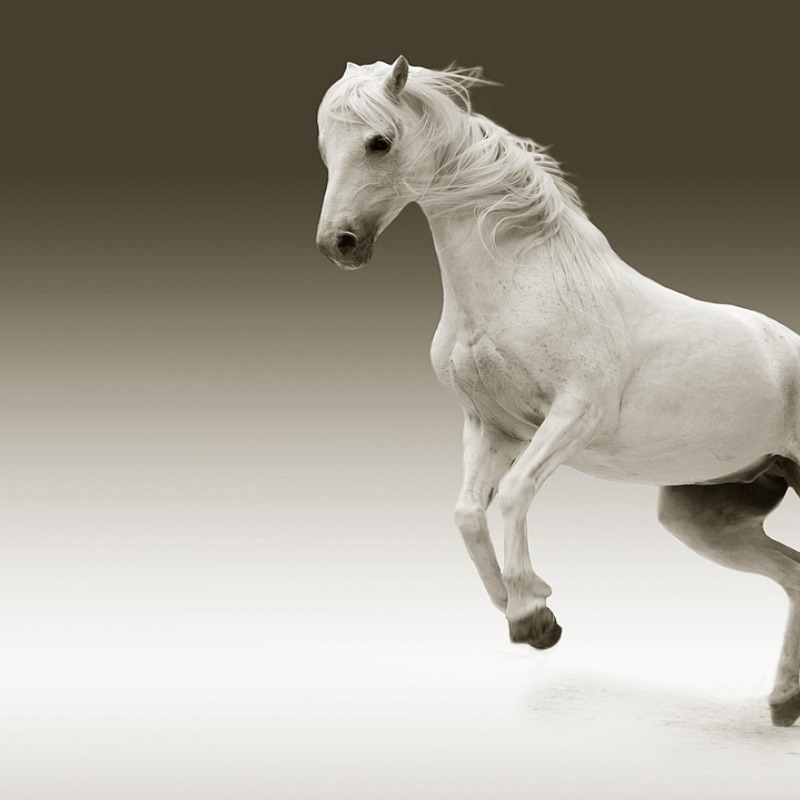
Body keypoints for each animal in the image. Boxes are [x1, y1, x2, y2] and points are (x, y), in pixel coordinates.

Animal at [315, 56, 800, 726]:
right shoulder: (491, 426)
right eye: (324, 148)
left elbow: (516, 492)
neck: (524, 280)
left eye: (378, 142)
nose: (339, 244)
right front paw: (524, 608)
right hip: (706, 517)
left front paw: (531, 614)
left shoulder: (575, 415)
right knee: (795, 576)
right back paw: (784, 701)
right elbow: (467, 513)